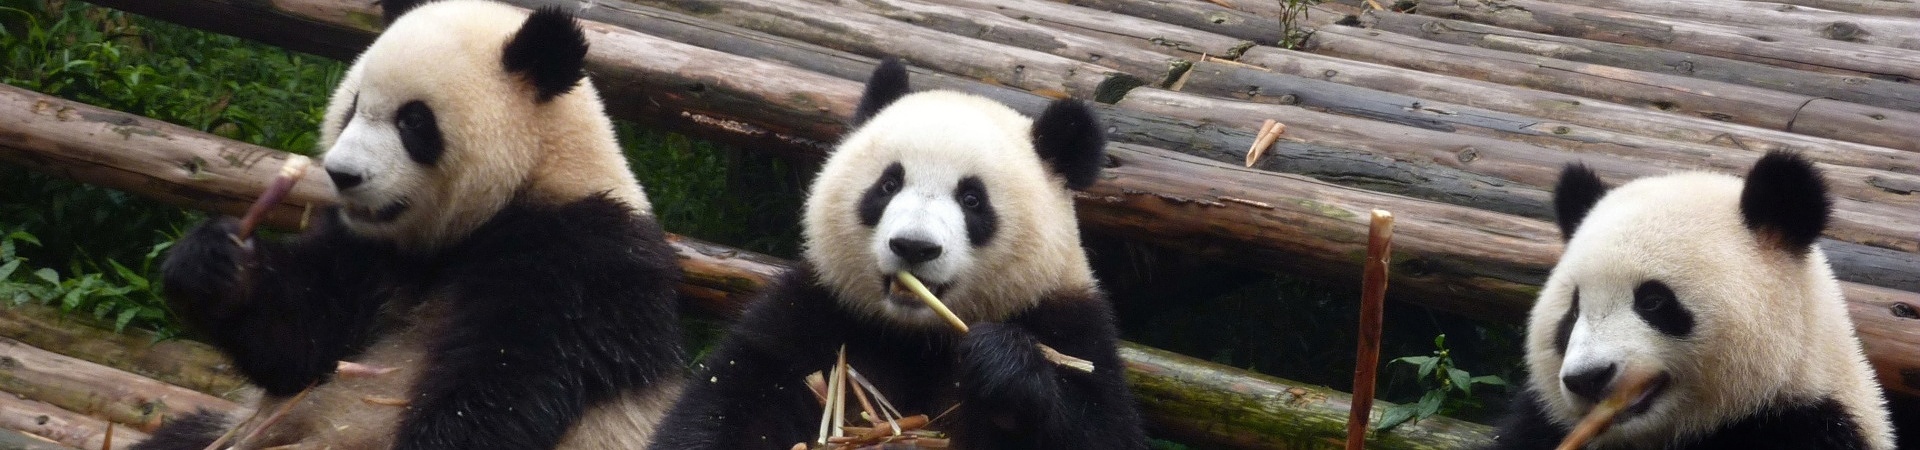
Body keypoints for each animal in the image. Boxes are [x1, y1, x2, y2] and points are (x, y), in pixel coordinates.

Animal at [127, 1, 687, 448]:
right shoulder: (369, 252)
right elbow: (304, 341)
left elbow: (501, 391)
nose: (342, 174)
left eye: (414, 120)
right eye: (353, 106)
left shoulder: (581, 265)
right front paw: (213, 263)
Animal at [652, 57, 1144, 448]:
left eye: (972, 200)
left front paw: (1002, 366)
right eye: (888, 184)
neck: (916, 337)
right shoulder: (813, 313)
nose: (914, 246)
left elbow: (1097, 427)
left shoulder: (1071, 324)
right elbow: (731, 399)